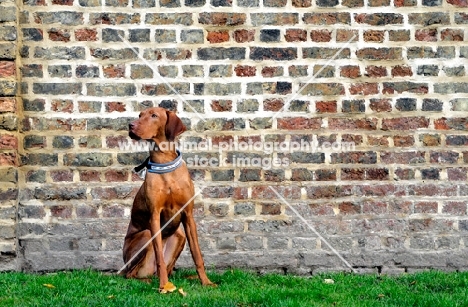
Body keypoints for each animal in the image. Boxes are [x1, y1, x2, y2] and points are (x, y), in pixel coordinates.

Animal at [122, 107, 214, 290]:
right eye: (140, 115)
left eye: (154, 115)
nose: (130, 125)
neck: (164, 162)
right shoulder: (154, 217)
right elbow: (160, 258)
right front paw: (164, 286)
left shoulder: (188, 215)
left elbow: (197, 254)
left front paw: (206, 281)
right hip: (145, 236)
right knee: (131, 274)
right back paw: (153, 282)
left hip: (180, 235)